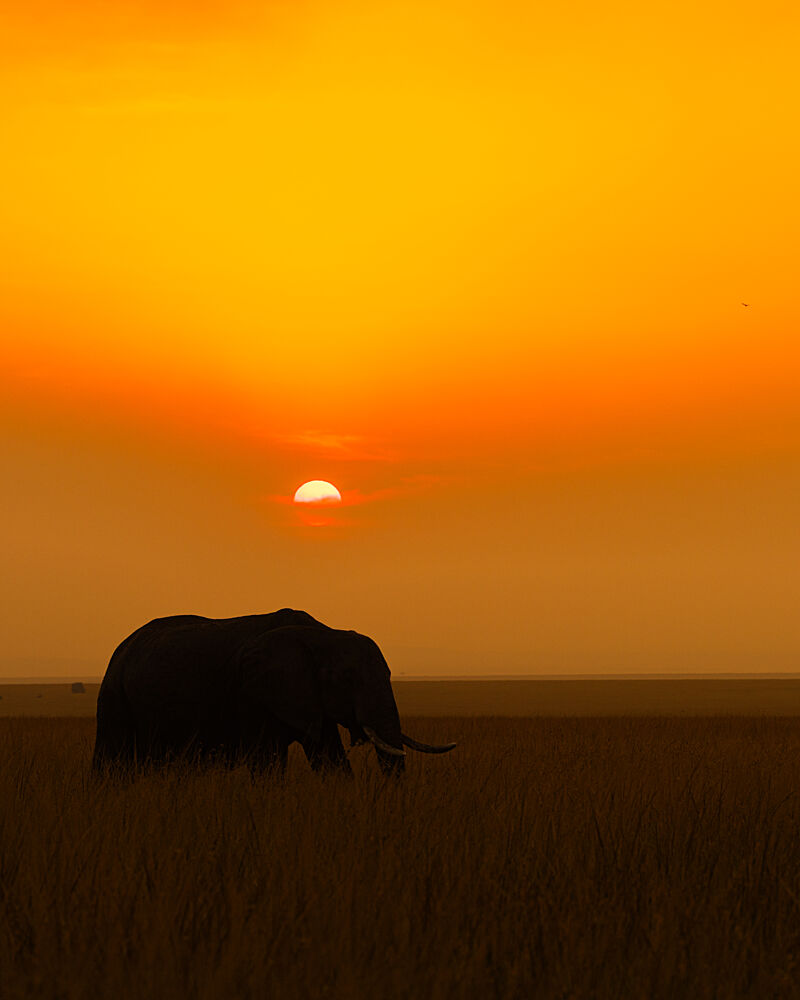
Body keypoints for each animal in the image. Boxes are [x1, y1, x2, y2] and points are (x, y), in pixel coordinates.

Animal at [93, 608, 456, 775]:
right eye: (347, 678)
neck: (322, 633)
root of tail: (120, 648)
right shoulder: (253, 696)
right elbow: (267, 763)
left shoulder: (308, 699)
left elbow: (330, 758)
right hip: (113, 695)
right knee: (112, 761)